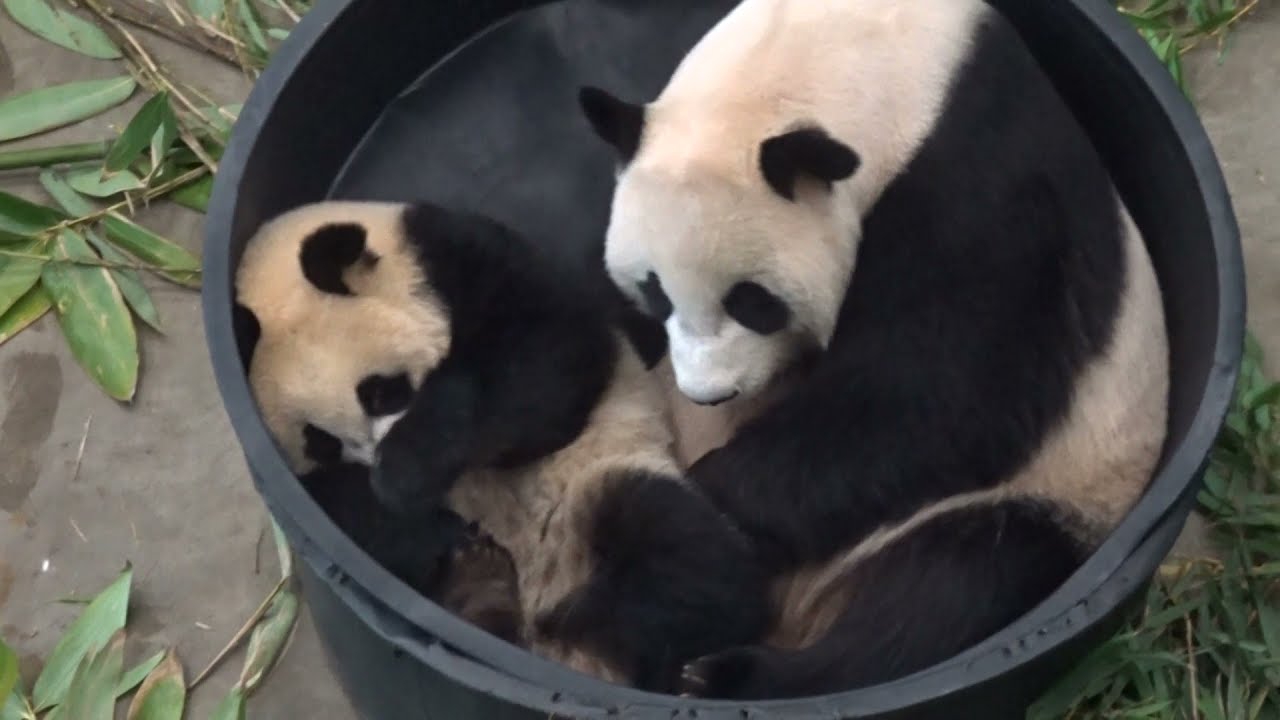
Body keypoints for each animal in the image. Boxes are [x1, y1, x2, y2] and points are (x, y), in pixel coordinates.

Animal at [232, 199, 769, 693]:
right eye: (322, 443)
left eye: (382, 391)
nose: (378, 458)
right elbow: (345, 511)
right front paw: (410, 510)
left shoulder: (460, 259)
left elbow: (544, 364)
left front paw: (405, 471)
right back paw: (481, 592)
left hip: (600, 481)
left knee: (689, 558)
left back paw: (580, 615)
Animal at [577, 0, 1170, 700]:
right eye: (655, 290)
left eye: (751, 301)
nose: (709, 394)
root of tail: (804, 610)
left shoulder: (983, 176)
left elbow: (936, 392)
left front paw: (703, 509)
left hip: (1054, 491)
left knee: (950, 590)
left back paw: (721, 673)